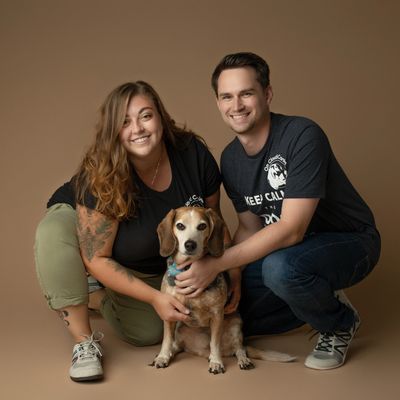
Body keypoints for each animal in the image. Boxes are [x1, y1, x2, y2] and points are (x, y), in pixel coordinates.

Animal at [150, 208, 294, 374]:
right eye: (180, 226)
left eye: (202, 226)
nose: (190, 244)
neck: (188, 267)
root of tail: (201, 350)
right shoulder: (170, 314)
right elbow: (167, 340)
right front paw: (163, 357)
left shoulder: (217, 315)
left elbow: (215, 343)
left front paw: (216, 362)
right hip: (180, 328)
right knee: (176, 346)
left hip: (236, 326)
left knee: (239, 349)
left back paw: (242, 360)